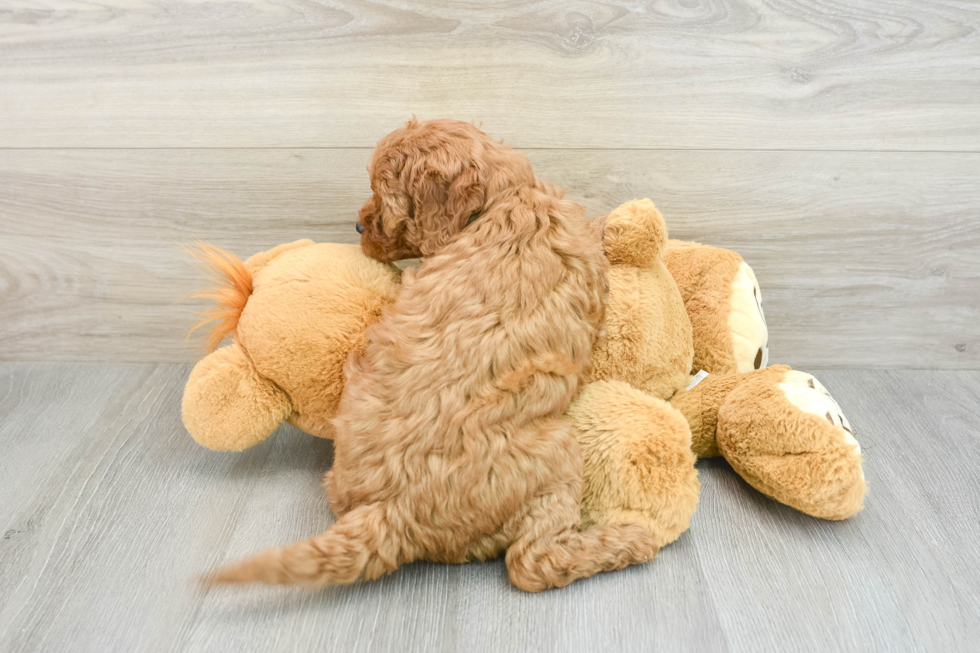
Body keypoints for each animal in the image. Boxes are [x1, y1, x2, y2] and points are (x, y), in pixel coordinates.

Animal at [214, 118, 660, 592]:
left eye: (385, 199)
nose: (357, 227)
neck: (504, 200)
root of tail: (391, 512)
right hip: (556, 451)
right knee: (533, 563)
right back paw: (628, 540)